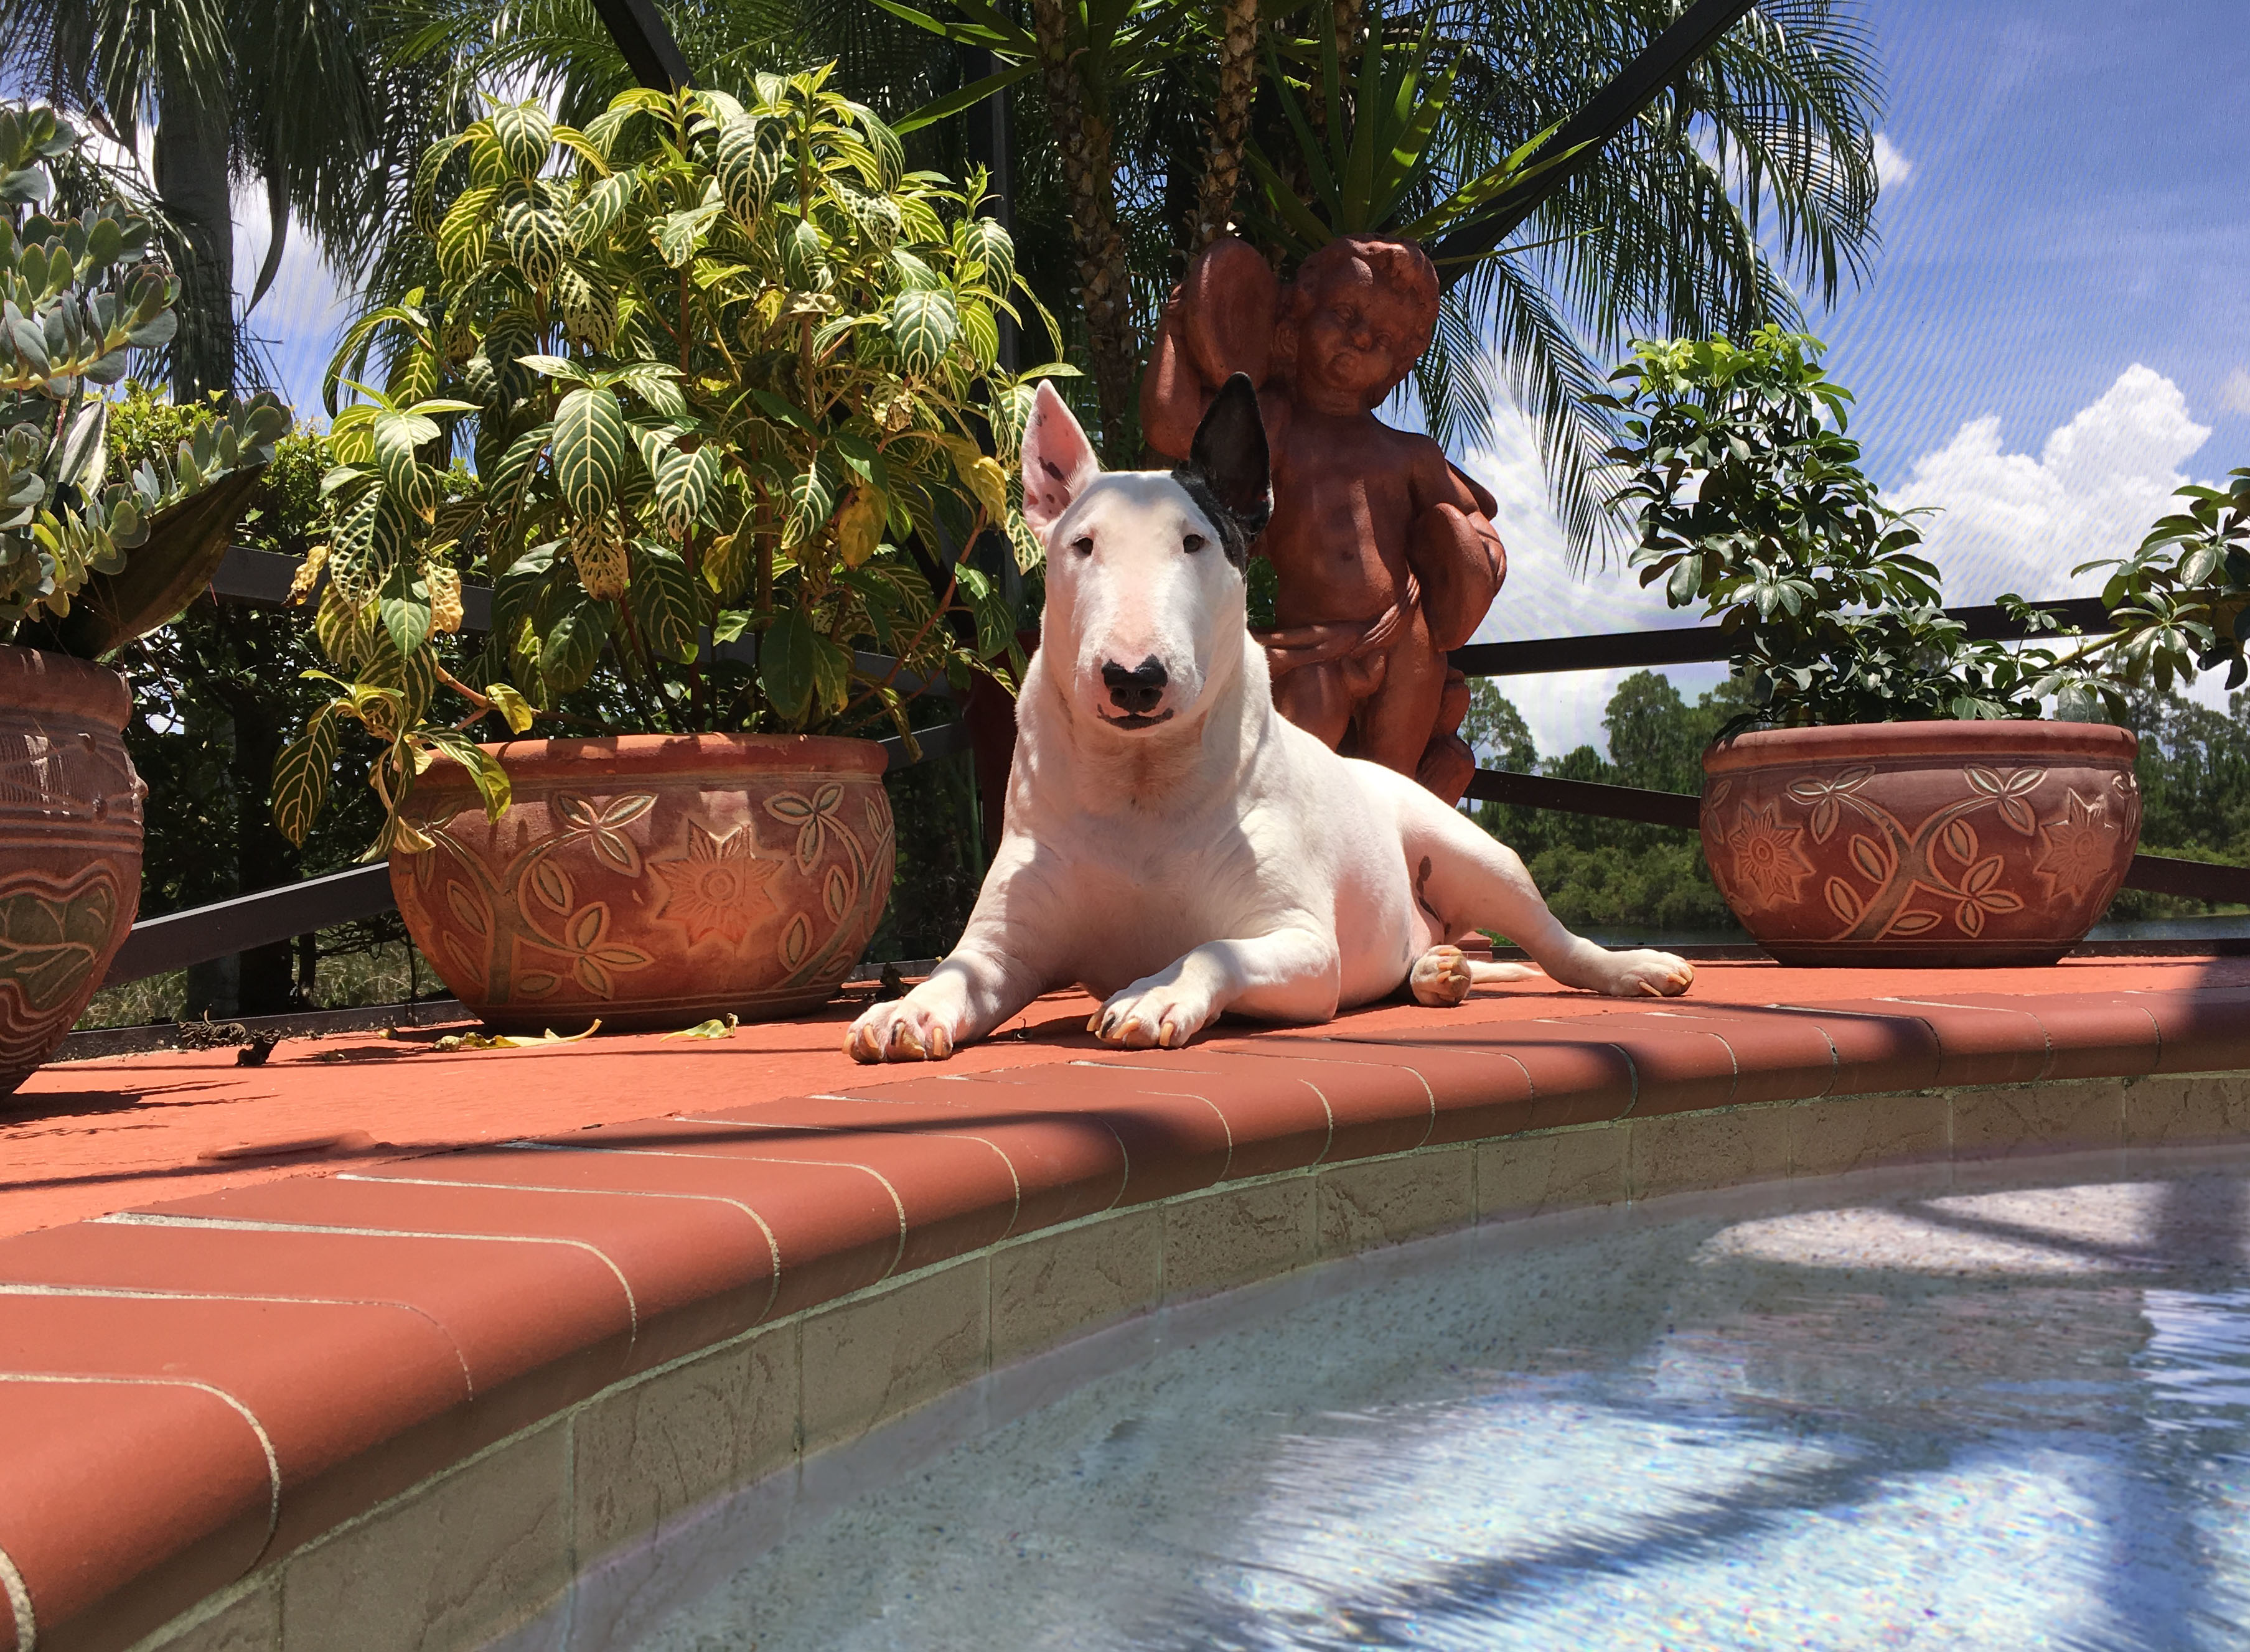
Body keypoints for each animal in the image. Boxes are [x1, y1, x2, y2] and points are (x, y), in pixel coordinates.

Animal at [845, 376, 1693, 1063]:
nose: (1133, 679)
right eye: (1082, 544)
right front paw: (905, 1009)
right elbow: (957, 970)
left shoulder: (1303, 946)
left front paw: (1155, 991)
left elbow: (1215, 949)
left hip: (1474, 855)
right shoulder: (1004, 948)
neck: (1139, 781)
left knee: (1556, 942)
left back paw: (1632, 967)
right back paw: (1436, 971)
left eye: (1195, 541)